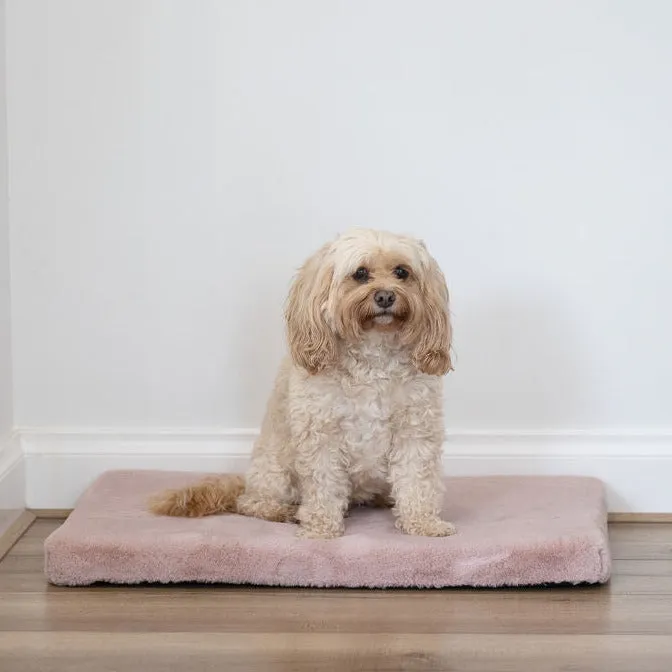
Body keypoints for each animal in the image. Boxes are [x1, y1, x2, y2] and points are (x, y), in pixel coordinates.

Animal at [150, 228, 456, 540]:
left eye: (402, 272)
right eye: (360, 273)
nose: (385, 296)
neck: (374, 356)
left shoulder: (415, 431)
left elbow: (417, 481)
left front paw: (423, 522)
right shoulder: (321, 434)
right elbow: (323, 486)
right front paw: (321, 528)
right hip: (275, 471)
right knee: (249, 501)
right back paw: (283, 511)